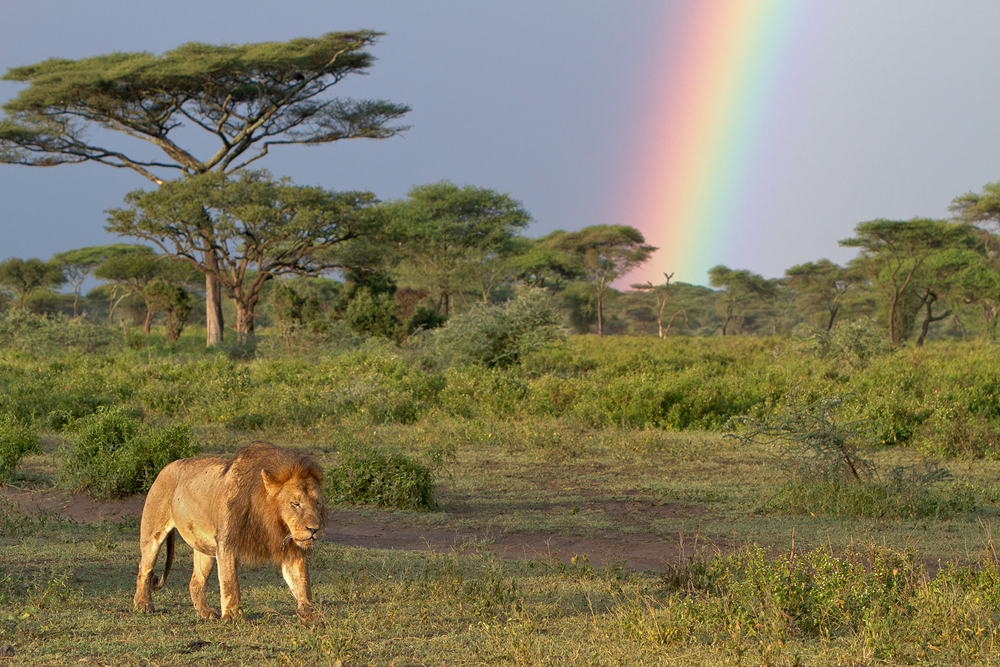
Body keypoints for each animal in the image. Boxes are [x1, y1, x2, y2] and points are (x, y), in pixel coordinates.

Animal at [133, 444, 326, 620]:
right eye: (295, 503)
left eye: (317, 503)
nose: (314, 529)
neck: (271, 520)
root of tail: (167, 466)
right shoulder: (227, 543)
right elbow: (230, 581)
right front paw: (233, 615)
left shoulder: (292, 547)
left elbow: (301, 580)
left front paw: (309, 613)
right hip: (152, 534)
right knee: (144, 569)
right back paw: (143, 605)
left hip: (205, 549)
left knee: (195, 582)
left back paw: (205, 612)